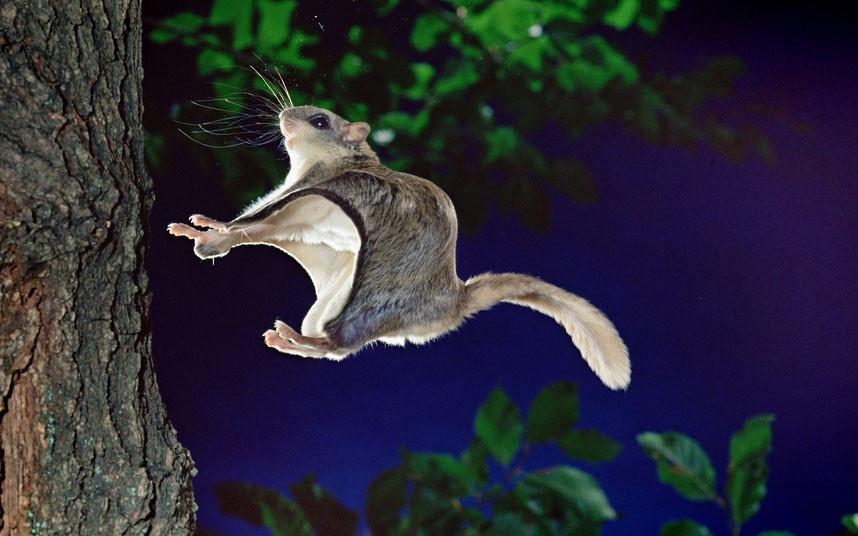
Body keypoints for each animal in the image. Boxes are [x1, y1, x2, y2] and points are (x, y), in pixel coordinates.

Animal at [168, 105, 630, 389]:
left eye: (319, 121)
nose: (284, 113)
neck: (339, 160)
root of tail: (452, 297)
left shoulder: (312, 188)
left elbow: (253, 219)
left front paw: (212, 231)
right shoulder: (300, 212)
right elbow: (261, 225)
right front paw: (205, 234)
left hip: (365, 307)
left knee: (337, 348)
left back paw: (290, 339)